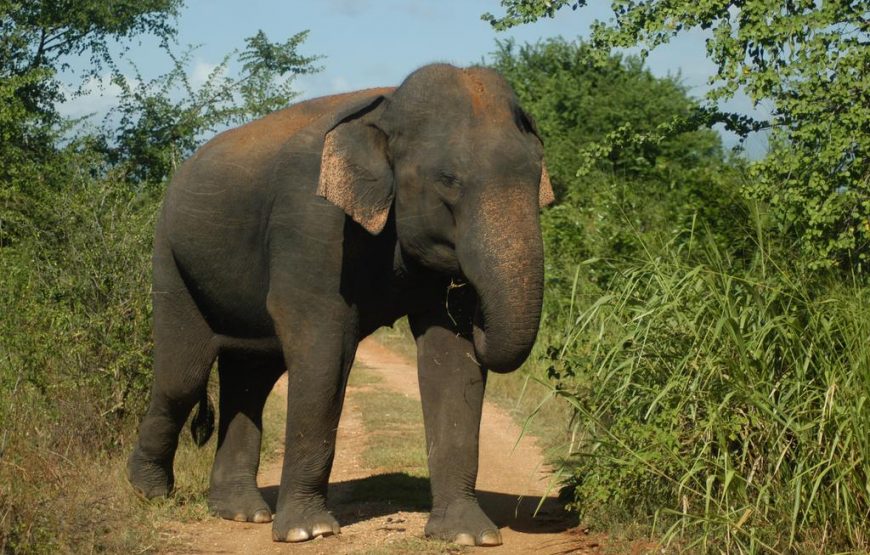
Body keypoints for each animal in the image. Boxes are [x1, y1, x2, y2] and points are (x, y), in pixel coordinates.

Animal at [126, 64, 556, 548]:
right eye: (448, 180)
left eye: (537, 177)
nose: (479, 313)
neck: (387, 109)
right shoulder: (311, 220)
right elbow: (324, 348)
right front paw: (306, 532)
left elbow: (450, 357)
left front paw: (468, 536)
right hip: (170, 258)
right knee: (183, 375)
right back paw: (147, 493)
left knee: (250, 378)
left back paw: (241, 512)